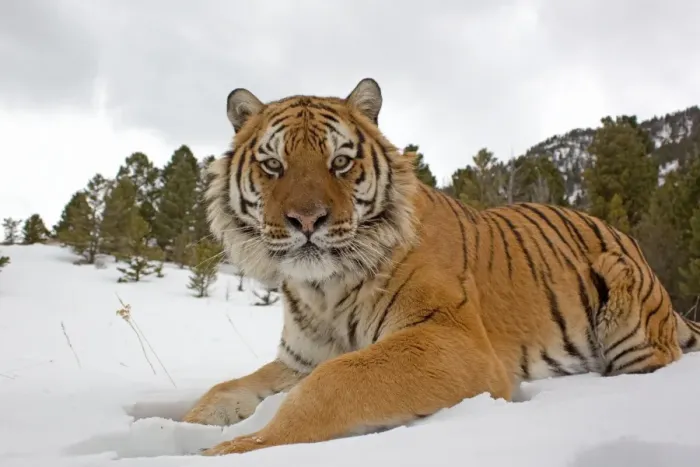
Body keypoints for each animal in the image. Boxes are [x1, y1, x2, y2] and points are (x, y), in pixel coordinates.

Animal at [182, 77, 700, 456]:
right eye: (273, 165)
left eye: (341, 162)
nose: (307, 219)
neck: (322, 289)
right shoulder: (299, 360)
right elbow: (222, 392)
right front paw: (180, 429)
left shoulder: (451, 339)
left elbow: (332, 383)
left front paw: (229, 450)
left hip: (627, 315)